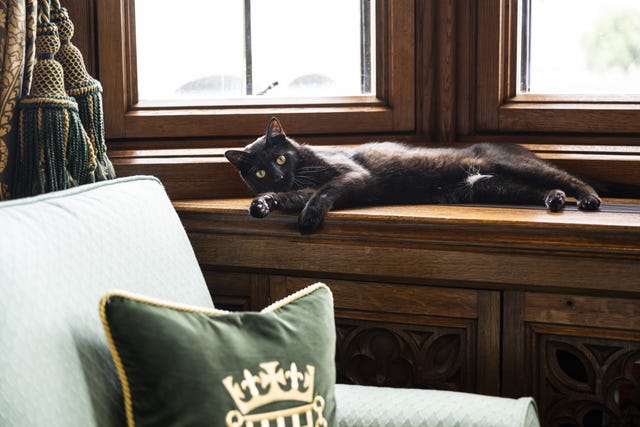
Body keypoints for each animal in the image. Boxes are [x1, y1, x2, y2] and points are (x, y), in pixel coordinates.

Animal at [225, 117, 600, 234]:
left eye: (281, 158)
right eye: (260, 172)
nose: (277, 176)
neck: (302, 170)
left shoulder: (352, 176)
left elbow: (322, 193)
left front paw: (308, 219)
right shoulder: (300, 189)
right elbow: (293, 197)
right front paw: (262, 203)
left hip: (510, 167)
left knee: (566, 177)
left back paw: (588, 199)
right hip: (494, 186)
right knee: (536, 190)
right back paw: (554, 200)